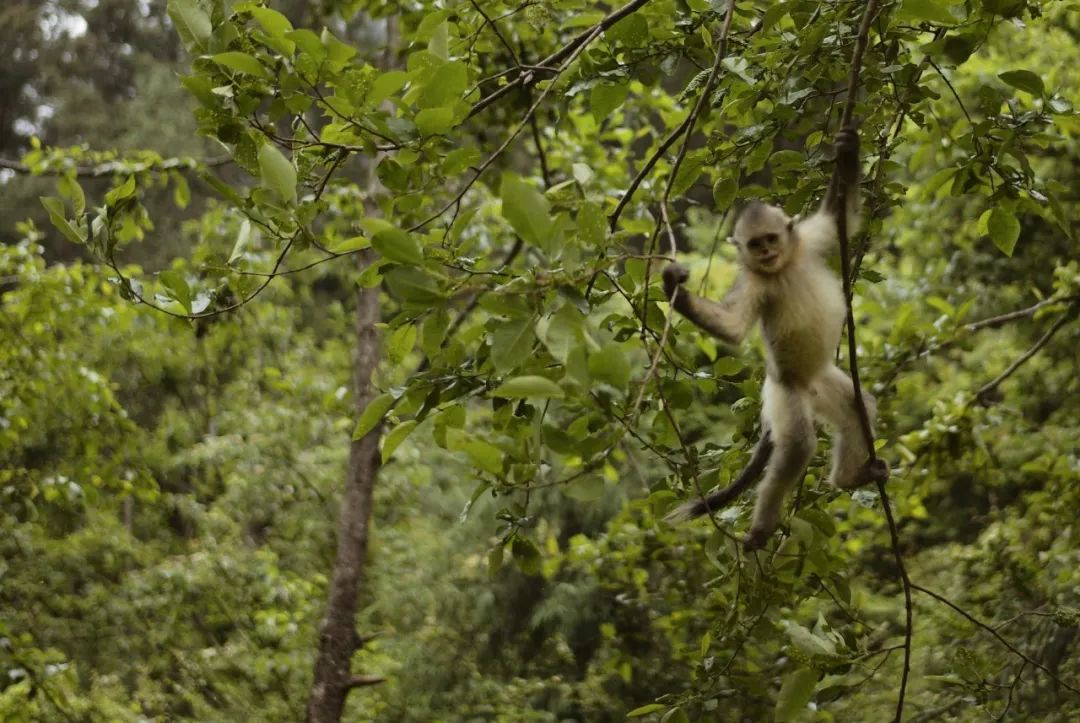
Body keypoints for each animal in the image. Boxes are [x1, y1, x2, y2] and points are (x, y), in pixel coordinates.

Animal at [665, 126, 885, 549]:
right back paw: (761, 529)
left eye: (770, 238)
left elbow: (841, 219)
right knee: (797, 446)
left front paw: (848, 150)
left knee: (857, 405)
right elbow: (732, 326)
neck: (781, 269)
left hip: (823, 382)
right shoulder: (754, 283)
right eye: (755, 245)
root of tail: (804, 384)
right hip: (784, 393)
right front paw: (674, 290)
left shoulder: (808, 239)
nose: (766, 253)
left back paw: (849, 477)